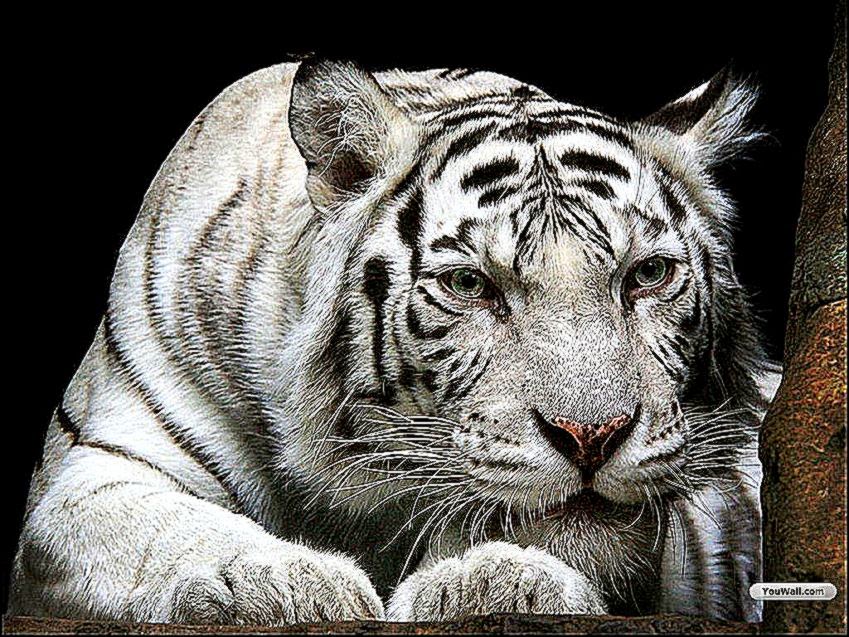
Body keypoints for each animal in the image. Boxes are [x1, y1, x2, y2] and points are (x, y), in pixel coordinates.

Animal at [8, 59, 781, 625]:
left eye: (647, 274)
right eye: (470, 284)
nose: (592, 436)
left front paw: (493, 578)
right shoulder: (96, 468)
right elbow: (161, 529)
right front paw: (280, 582)